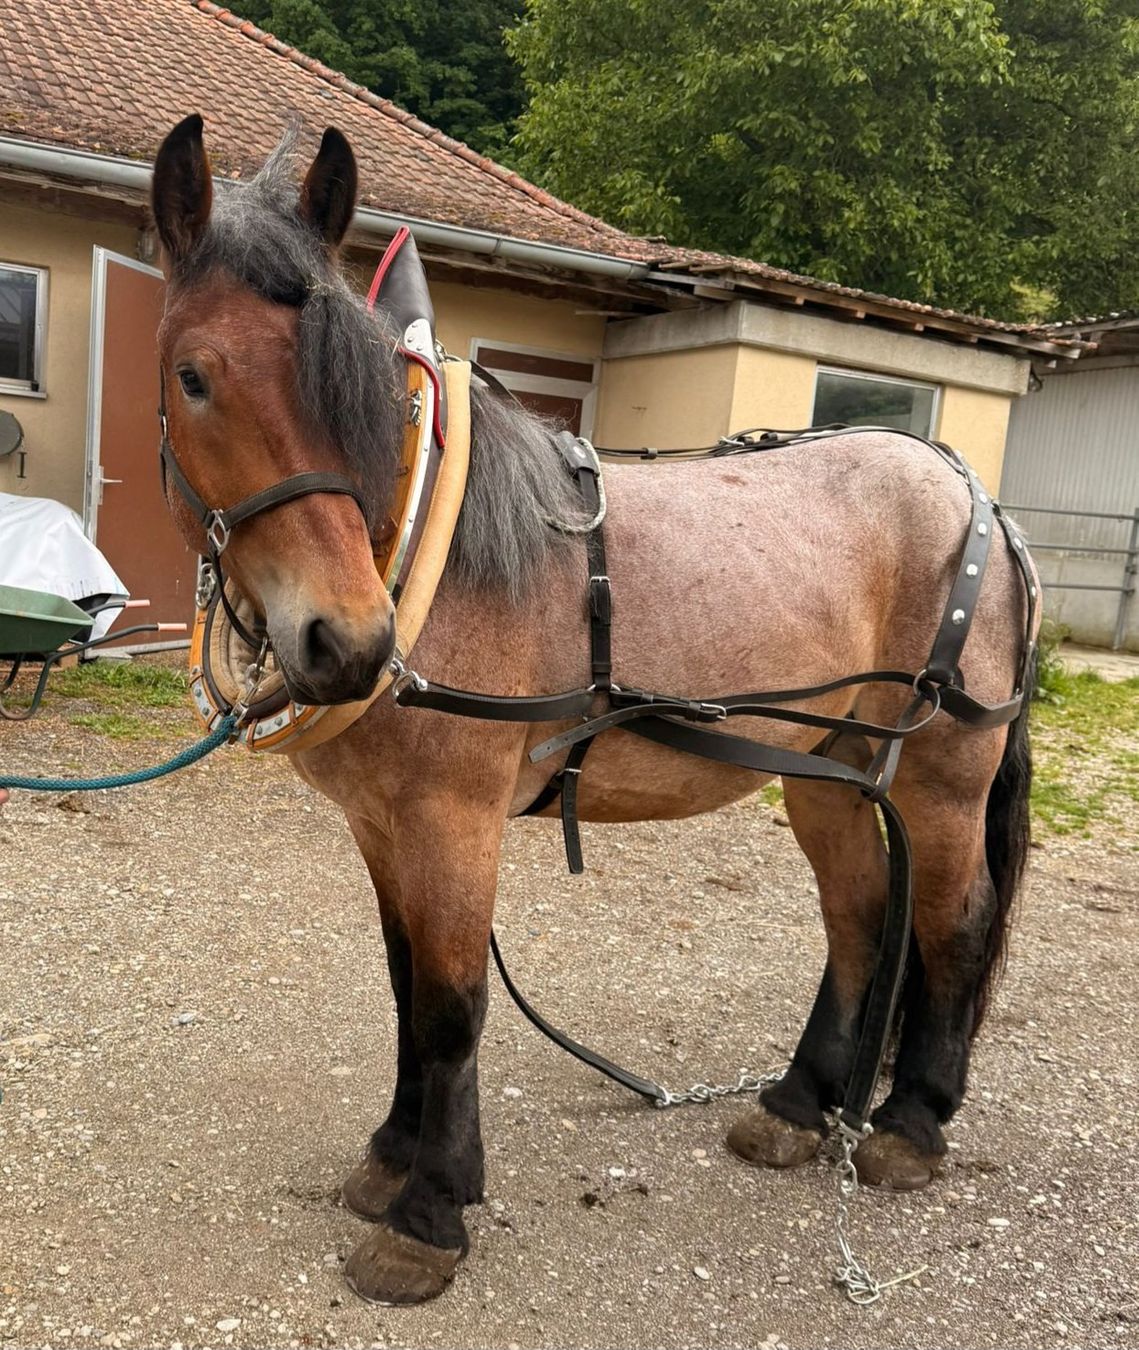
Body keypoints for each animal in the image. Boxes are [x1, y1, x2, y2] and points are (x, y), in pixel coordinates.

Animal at [149, 115, 1036, 1305]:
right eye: (193, 376)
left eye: (354, 387)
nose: (347, 643)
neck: (431, 558)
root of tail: (973, 495)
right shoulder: (382, 826)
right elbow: (403, 989)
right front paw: (392, 1160)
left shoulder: (452, 821)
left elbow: (449, 1006)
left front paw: (430, 1213)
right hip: (833, 772)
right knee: (856, 915)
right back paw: (797, 1107)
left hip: (939, 780)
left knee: (952, 922)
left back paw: (909, 1123)